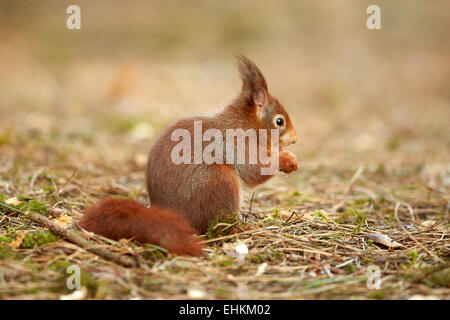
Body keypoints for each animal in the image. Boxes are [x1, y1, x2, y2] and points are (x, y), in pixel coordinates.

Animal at [80, 54, 298, 255]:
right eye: (279, 121)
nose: (294, 140)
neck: (245, 122)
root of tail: (177, 218)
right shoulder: (238, 143)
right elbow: (253, 171)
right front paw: (286, 159)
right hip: (219, 181)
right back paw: (237, 228)